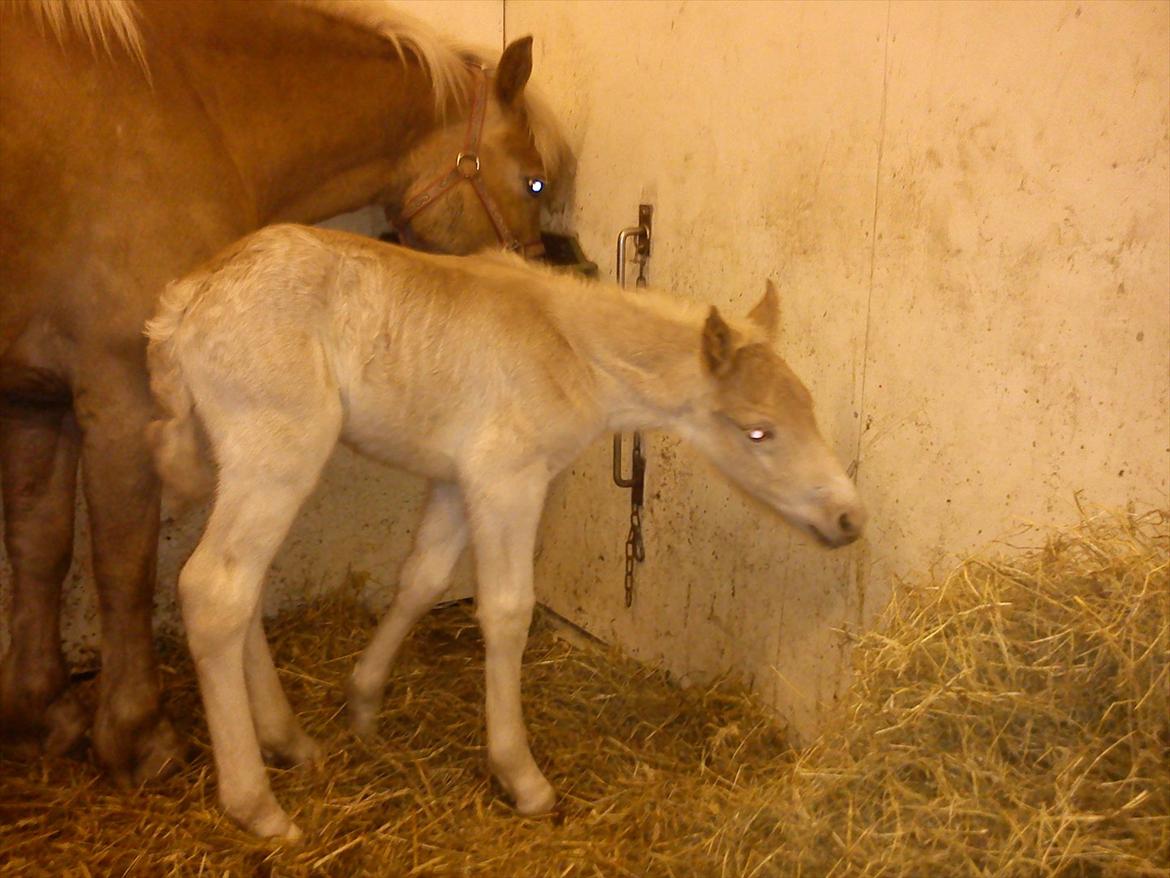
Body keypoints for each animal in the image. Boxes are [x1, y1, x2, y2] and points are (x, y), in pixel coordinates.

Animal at [0, 0, 570, 782]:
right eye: (534, 182)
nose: (533, 283)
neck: (189, 104)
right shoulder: (120, 395)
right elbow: (126, 565)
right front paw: (140, 735)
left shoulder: (37, 399)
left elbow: (40, 545)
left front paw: (42, 713)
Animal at [146, 223, 865, 842]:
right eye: (756, 431)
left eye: (809, 409)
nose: (849, 518)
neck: (572, 349)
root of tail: (187, 298)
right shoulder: (508, 478)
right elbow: (507, 611)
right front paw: (521, 777)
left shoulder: (454, 480)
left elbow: (422, 578)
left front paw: (363, 704)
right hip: (279, 453)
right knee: (213, 589)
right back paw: (257, 805)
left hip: (234, 462)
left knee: (238, 588)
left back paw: (289, 740)